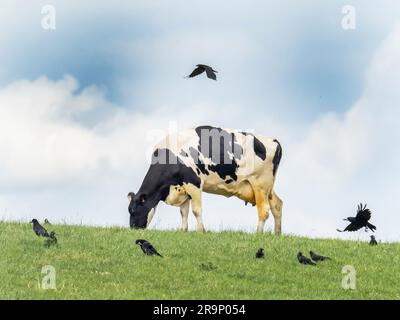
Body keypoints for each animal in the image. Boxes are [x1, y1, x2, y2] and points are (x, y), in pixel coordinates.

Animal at [127, 126, 282, 234]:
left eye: (133, 211)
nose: (132, 228)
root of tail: (273, 140)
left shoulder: (194, 182)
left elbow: (196, 210)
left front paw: (201, 231)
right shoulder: (182, 187)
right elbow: (183, 212)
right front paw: (183, 231)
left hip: (260, 185)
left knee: (264, 210)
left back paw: (258, 234)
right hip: (268, 188)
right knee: (277, 205)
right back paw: (277, 234)